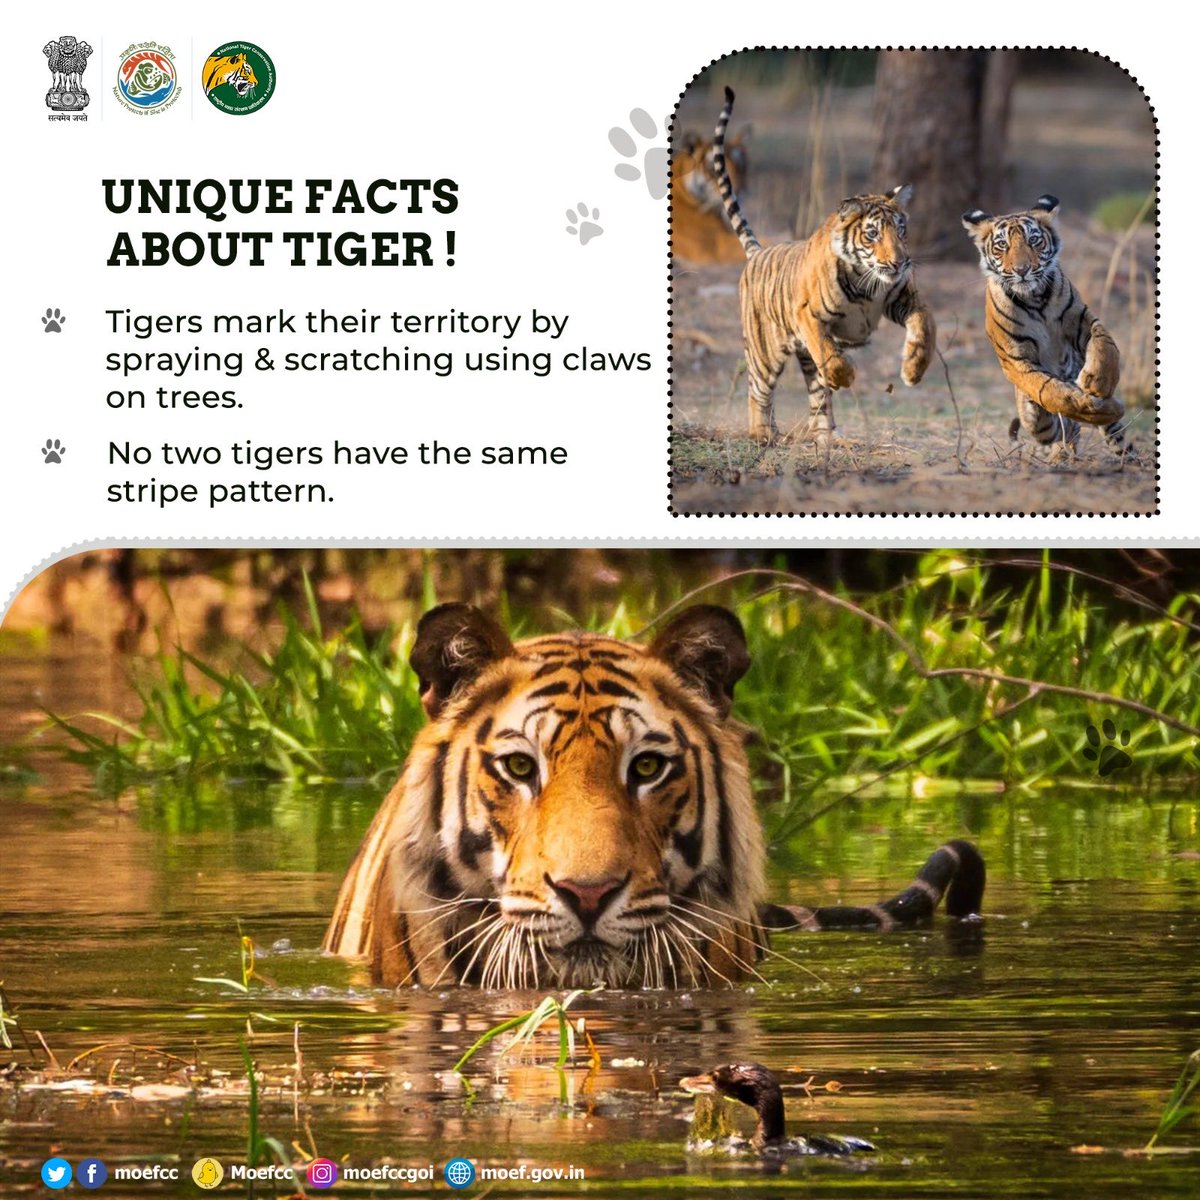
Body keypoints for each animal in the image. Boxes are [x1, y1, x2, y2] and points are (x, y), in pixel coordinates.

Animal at [712, 87, 937, 442]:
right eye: (873, 234)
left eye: (901, 230)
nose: (899, 263)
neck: (868, 281)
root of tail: (758, 253)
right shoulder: (809, 315)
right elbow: (831, 356)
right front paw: (845, 375)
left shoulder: (904, 297)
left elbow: (924, 326)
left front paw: (913, 367)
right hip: (764, 351)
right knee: (758, 390)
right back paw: (763, 433)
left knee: (816, 397)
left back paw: (828, 437)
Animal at [961, 196, 1130, 456]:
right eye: (1002, 245)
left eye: (1033, 240)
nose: (1022, 270)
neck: (1035, 299)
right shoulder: (1016, 359)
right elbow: (1048, 390)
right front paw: (1082, 405)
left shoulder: (1082, 319)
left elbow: (1105, 344)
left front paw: (1099, 382)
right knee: (1049, 426)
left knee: (1115, 438)